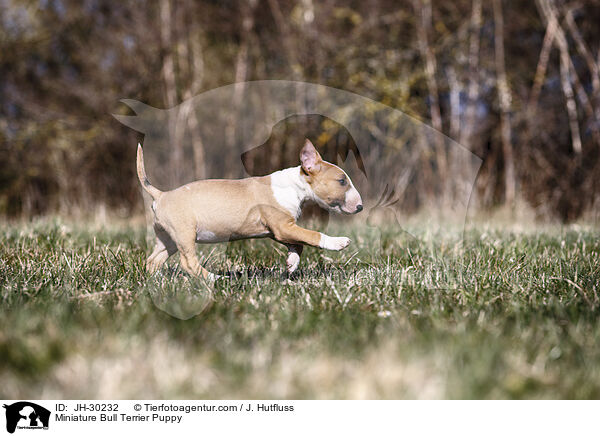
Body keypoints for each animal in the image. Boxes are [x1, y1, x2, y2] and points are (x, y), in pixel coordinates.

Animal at [138, 140, 364, 280]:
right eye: (342, 181)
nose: (360, 206)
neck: (295, 185)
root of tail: (161, 195)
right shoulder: (283, 227)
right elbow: (312, 235)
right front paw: (338, 242)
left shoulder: (277, 230)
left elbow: (298, 244)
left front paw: (291, 264)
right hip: (185, 232)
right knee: (188, 263)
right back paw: (215, 279)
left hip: (168, 238)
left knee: (152, 260)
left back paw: (158, 281)